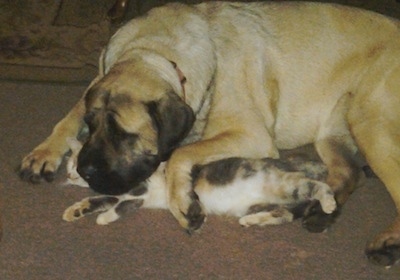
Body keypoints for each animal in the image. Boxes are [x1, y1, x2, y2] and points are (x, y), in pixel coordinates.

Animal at [63, 138, 338, 228]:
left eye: (79, 166)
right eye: (70, 167)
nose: (70, 176)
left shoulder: (139, 191)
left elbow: (120, 206)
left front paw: (104, 218)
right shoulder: (118, 195)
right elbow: (96, 200)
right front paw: (74, 211)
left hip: (287, 184)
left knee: (319, 187)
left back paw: (329, 203)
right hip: (262, 204)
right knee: (284, 214)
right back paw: (251, 221)